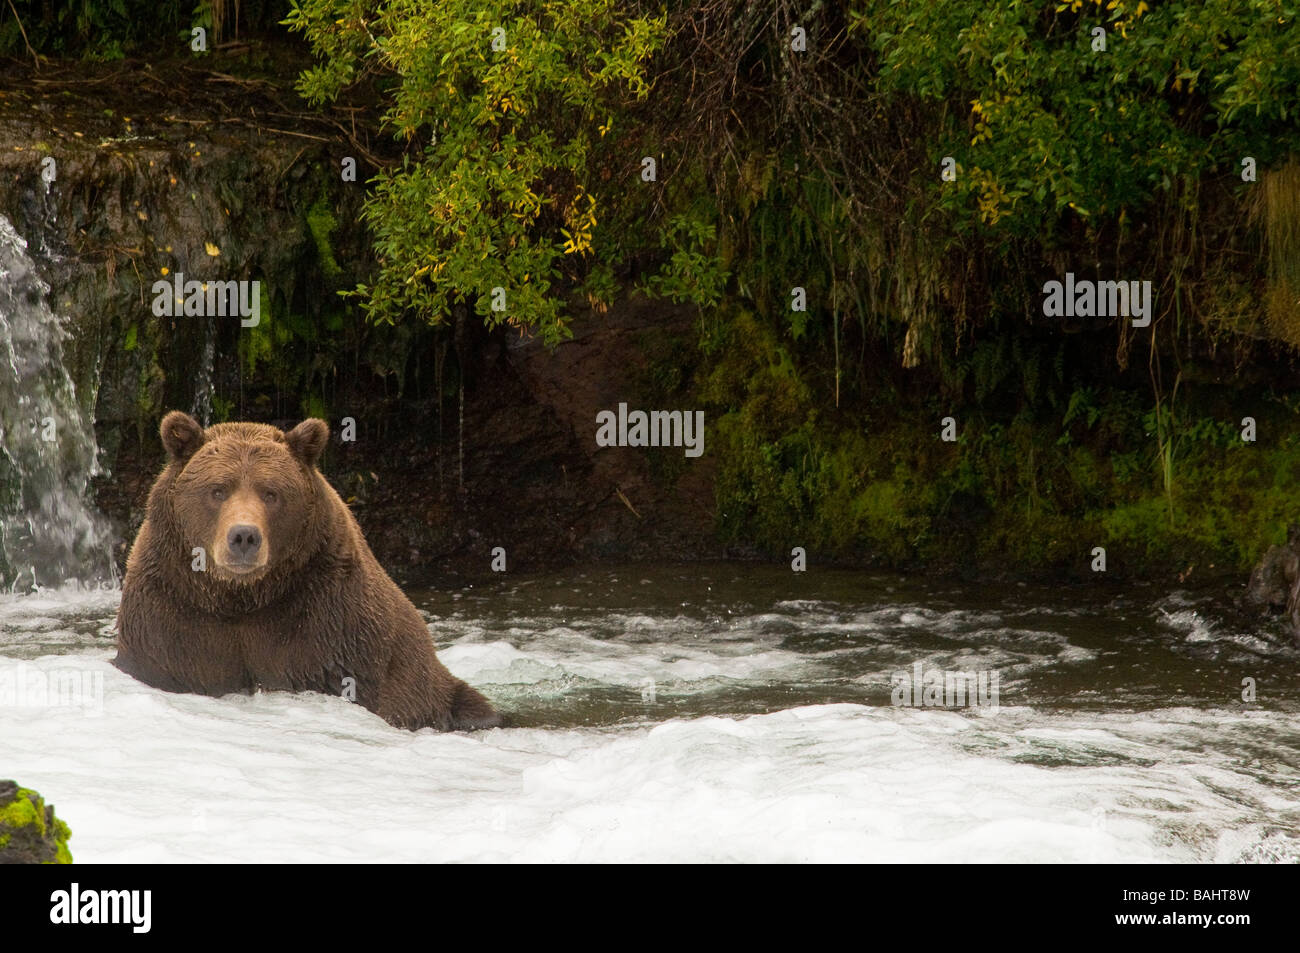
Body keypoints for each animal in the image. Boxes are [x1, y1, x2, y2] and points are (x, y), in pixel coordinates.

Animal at [114, 408, 499, 728]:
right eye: (218, 489)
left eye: (271, 492)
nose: (244, 536)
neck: (241, 597)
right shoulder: (174, 612)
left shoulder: (325, 620)